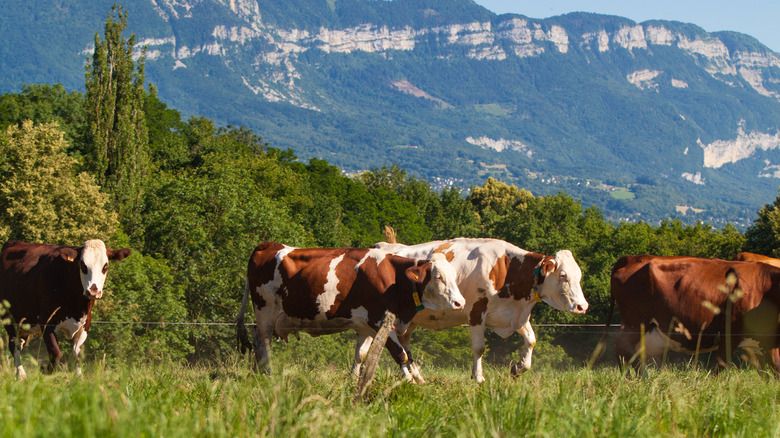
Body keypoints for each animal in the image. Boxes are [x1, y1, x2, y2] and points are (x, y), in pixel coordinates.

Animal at [0, 238, 131, 378]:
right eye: (83, 265)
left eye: (105, 267)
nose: (93, 291)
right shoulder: (47, 323)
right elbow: (56, 353)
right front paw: (45, 370)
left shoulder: (85, 324)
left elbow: (78, 354)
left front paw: (79, 377)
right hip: (10, 319)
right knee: (15, 347)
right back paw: (21, 375)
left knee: (20, 344)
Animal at [232, 241, 464, 382]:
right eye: (438, 277)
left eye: (454, 276)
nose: (460, 302)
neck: (393, 278)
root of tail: (268, 245)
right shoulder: (380, 320)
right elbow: (402, 354)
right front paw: (410, 383)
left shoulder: (365, 327)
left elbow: (361, 355)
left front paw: (353, 380)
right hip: (265, 310)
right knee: (263, 341)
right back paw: (268, 373)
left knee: (257, 338)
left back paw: (260, 372)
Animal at [350, 238, 588, 382]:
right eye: (563, 275)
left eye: (579, 275)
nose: (582, 306)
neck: (507, 268)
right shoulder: (476, 313)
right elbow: (479, 348)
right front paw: (478, 377)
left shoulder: (514, 316)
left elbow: (531, 340)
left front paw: (519, 367)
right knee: (372, 348)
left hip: (405, 321)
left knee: (399, 346)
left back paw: (415, 376)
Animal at [608, 253, 780, 372]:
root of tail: (632, 258)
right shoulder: (730, 333)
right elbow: (719, 365)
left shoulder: (767, 341)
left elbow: (775, 368)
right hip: (636, 323)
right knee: (623, 349)